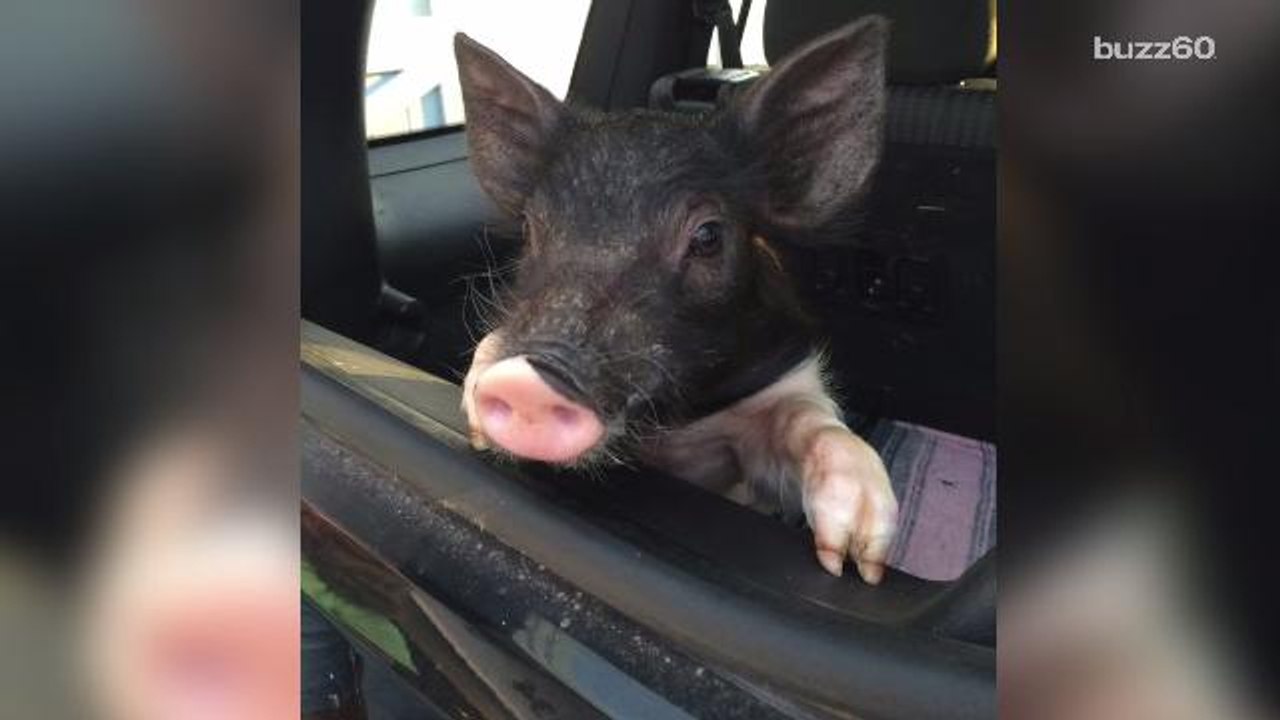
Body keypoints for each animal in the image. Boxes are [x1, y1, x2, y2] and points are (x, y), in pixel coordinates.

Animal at [454, 17, 898, 584]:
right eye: (531, 228)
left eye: (708, 236)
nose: (527, 377)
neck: (672, 425)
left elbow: (807, 419)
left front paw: (859, 558)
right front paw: (476, 413)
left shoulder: (781, 379)